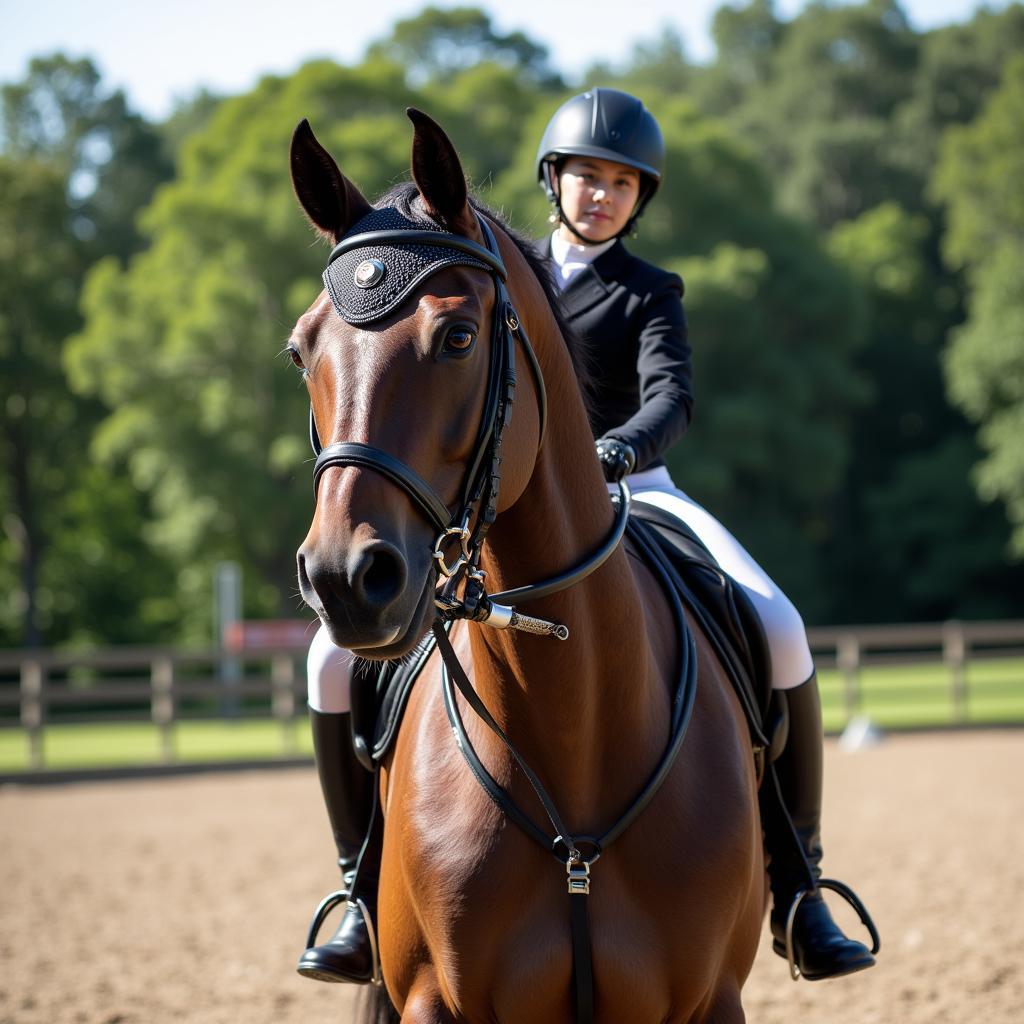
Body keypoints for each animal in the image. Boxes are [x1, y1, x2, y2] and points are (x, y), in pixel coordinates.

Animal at [288, 108, 770, 1019]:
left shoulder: (709, 1001)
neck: (570, 729)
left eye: (458, 336)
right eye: (302, 351)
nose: (345, 580)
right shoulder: (433, 1001)